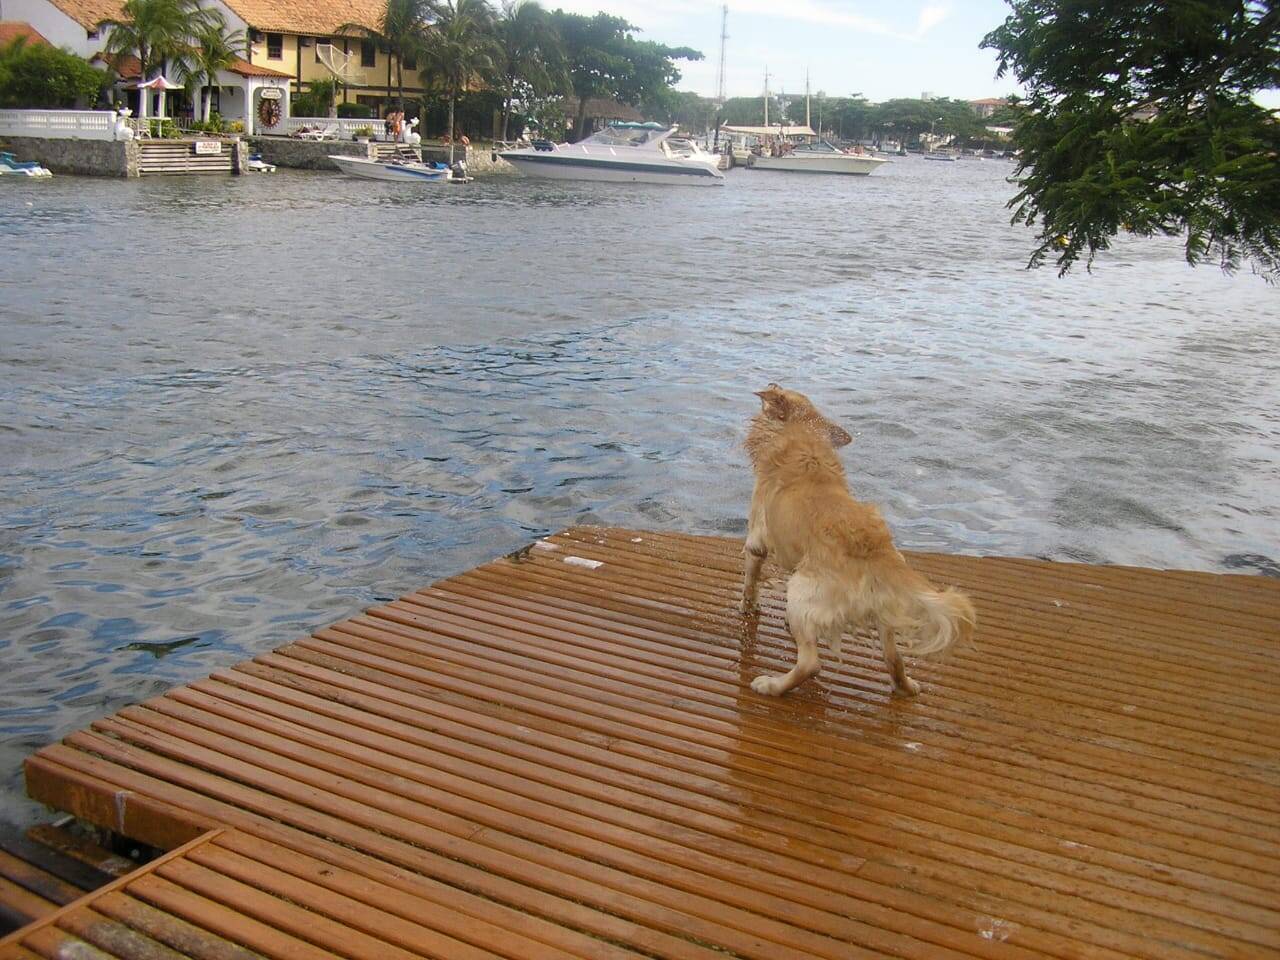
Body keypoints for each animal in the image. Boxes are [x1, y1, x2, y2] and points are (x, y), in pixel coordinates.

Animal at [737, 386, 972, 701]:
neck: (803, 439)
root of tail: (877, 556)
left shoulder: (757, 538)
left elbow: (751, 577)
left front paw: (748, 606)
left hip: (800, 591)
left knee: (810, 663)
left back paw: (771, 685)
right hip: (884, 616)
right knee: (894, 659)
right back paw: (905, 687)